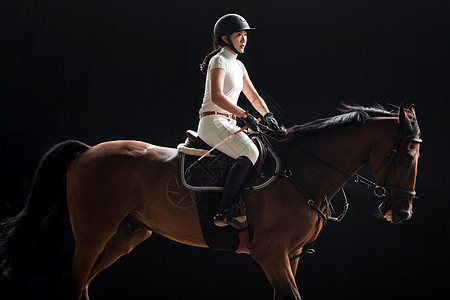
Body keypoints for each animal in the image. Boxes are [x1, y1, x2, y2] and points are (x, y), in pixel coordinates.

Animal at [0, 104, 422, 298]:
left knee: (81, 282)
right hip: (93, 232)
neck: (303, 172)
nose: (401, 212)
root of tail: (88, 152)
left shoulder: (292, 256)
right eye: (405, 156)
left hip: (126, 235)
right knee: (73, 281)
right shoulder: (271, 254)